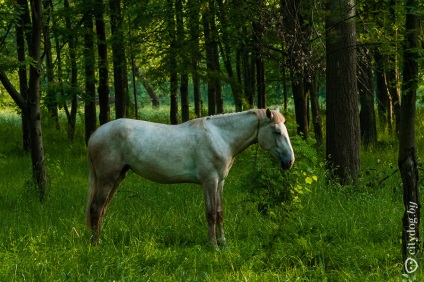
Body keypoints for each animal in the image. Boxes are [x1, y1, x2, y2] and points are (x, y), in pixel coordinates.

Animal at [84, 107, 294, 248]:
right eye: (277, 131)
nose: (289, 161)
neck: (220, 137)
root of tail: (95, 134)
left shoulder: (220, 182)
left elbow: (220, 212)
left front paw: (224, 243)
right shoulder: (209, 181)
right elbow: (211, 213)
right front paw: (213, 245)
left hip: (118, 178)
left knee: (102, 210)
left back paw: (100, 240)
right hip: (107, 179)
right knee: (96, 209)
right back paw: (96, 244)